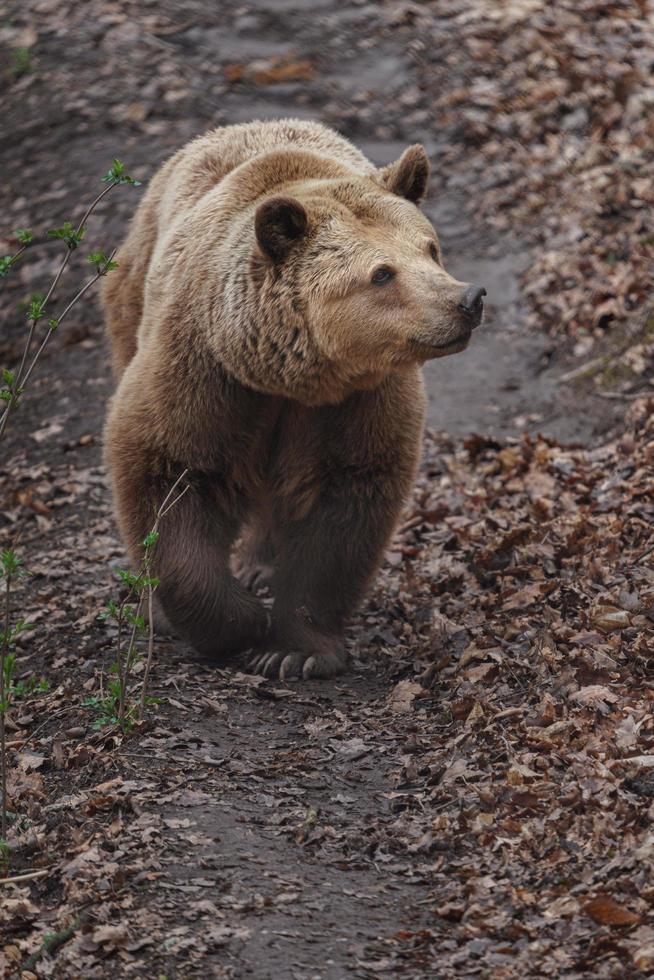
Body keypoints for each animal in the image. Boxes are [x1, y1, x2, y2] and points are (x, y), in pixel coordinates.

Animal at [101, 118, 482, 676]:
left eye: (430, 248)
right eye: (382, 273)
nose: (467, 299)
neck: (287, 376)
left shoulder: (354, 402)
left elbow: (341, 506)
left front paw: (292, 649)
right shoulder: (205, 372)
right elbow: (169, 471)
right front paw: (236, 620)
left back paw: (259, 565)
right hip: (132, 295)